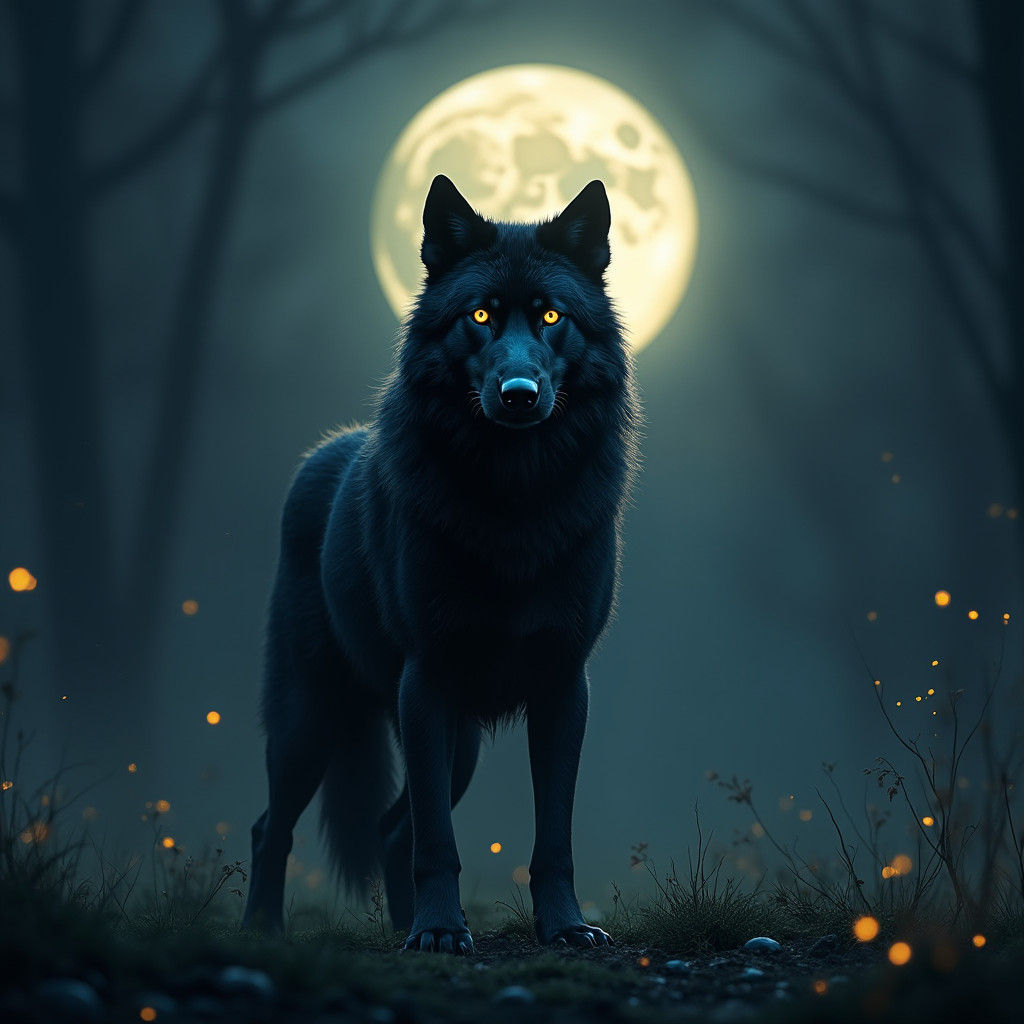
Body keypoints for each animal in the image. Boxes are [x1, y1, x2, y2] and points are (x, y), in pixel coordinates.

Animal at [242, 174, 640, 953]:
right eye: (480, 315)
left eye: (551, 316)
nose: (519, 395)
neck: (514, 504)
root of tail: (325, 451)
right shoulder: (426, 678)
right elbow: (439, 842)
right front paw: (439, 932)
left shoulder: (563, 686)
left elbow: (553, 837)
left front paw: (565, 927)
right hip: (315, 720)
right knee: (272, 827)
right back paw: (265, 932)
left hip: (459, 747)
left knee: (391, 829)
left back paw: (407, 928)